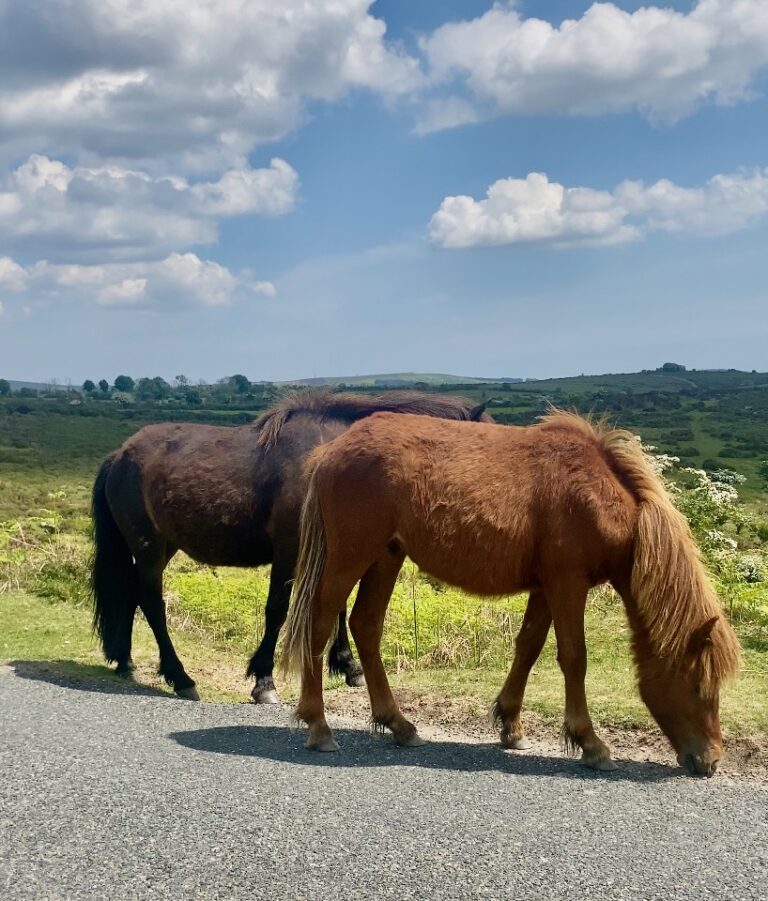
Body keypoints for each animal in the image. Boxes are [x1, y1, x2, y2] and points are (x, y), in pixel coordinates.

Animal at [90, 391, 491, 702]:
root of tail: (119, 455)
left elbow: (337, 607)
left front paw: (347, 665)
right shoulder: (289, 553)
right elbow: (277, 611)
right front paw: (264, 680)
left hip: (159, 547)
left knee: (131, 595)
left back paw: (125, 662)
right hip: (149, 546)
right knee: (151, 603)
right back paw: (180, 677)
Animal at [283, 411, 741, 776]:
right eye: (698, 686)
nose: (711, 760)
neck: (600, 496)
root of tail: (331, 450)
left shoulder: (546, 587)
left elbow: (529, 648)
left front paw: (510, 724)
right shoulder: (567, 584)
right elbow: (574, 658)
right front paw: (589, 743)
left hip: (387, 556)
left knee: (366, 625)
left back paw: (398, 723)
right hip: (350, 559)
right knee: (319, 626)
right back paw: (318, 725)